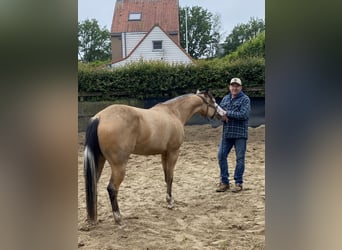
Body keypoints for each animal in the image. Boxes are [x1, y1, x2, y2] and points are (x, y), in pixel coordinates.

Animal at [84, 89, 220, 225]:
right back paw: (118, 218)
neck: (173, 113)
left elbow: (166, 177)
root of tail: (99, 117)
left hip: (100, 161)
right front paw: (170, 202)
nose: (221, 114)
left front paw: (168, 200)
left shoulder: (164, 153)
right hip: (119, 166)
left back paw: (93, 218)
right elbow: (171, 177)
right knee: (112, 188)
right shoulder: (173, 152)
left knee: (93, 186)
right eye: (213, 101)